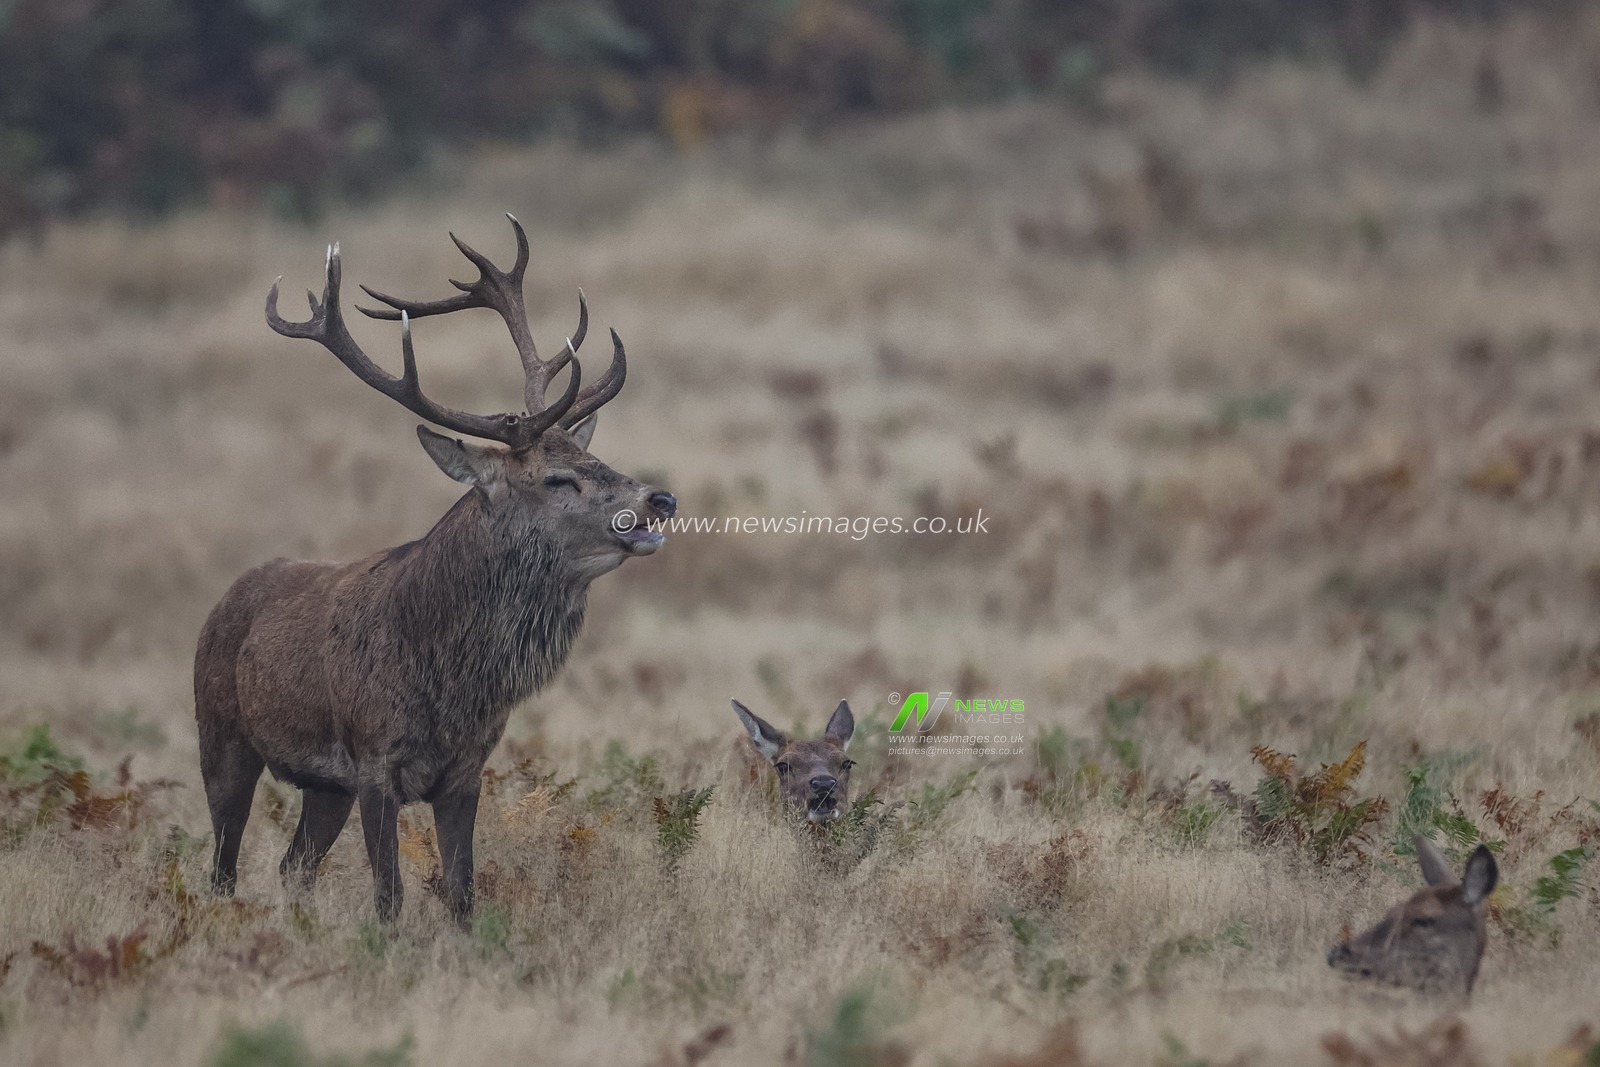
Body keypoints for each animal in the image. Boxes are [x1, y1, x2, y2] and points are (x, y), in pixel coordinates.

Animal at [195, 216, 675, 925]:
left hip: (324, 786)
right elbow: (390, 898)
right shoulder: (374, 763)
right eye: (557, 478)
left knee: (292, 866)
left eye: (597, 456)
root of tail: (223, 601)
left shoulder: (465, 772)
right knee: (223, 869)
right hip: (221, 738)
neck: (449, 683)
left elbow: (463, 893)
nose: (659, 499)